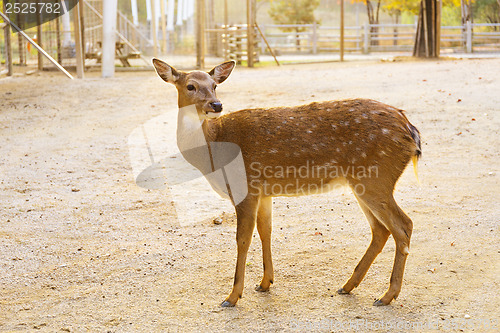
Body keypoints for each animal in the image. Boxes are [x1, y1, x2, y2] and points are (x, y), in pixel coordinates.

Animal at [152, 57, 422, 306]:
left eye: (215, 85)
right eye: (190, 86)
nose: (216, 105)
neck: (213, 146)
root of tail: (410, 131)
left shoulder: (245, 187)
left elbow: (242, 239)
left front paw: (232, 296)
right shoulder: (264, 192)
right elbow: (266, 231)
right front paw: (264, 283)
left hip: (377, 177)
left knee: (403, 225)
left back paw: (387, 295)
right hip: (363, 182)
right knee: (381, 230)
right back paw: (348, 286)